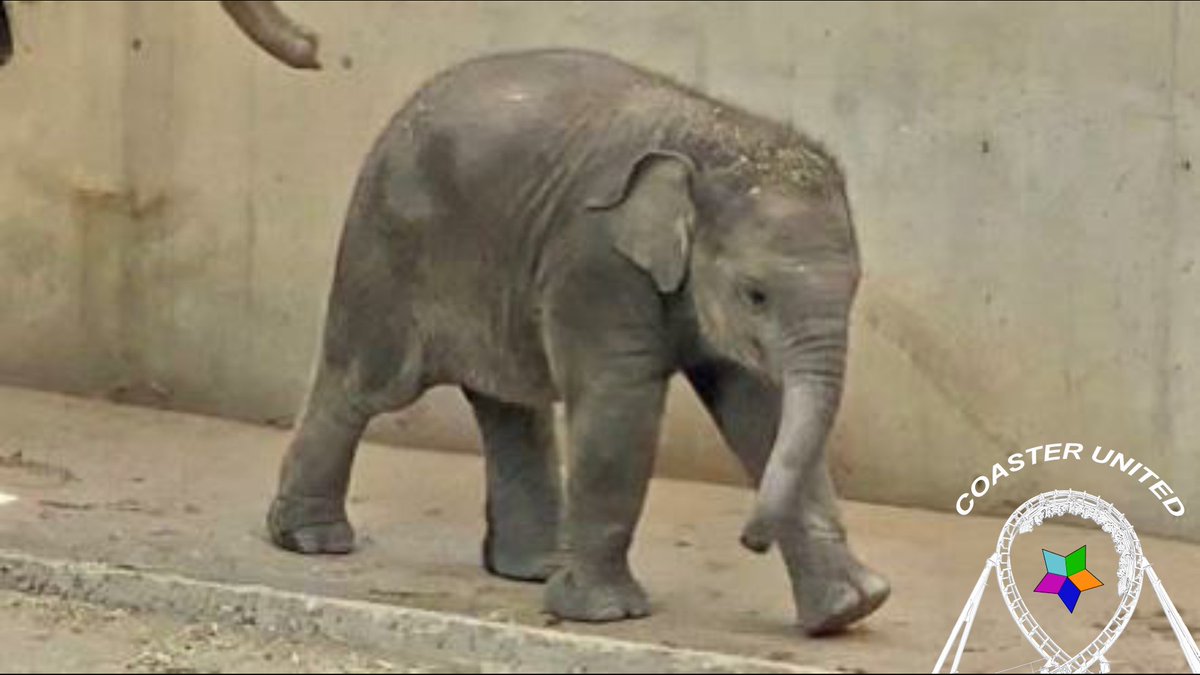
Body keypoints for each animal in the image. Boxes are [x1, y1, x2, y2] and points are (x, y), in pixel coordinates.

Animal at [266, 48, 889, 635]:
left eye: (857, 285)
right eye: (755, 294)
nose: (749, 540)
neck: (710, 138)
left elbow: (762, 411)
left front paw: (850, 610)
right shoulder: (595, 260)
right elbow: (621, 402)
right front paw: (606, 614)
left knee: (511, 406)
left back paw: (535, 567)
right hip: (387, 244)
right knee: (365, 384)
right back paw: (314, 541)